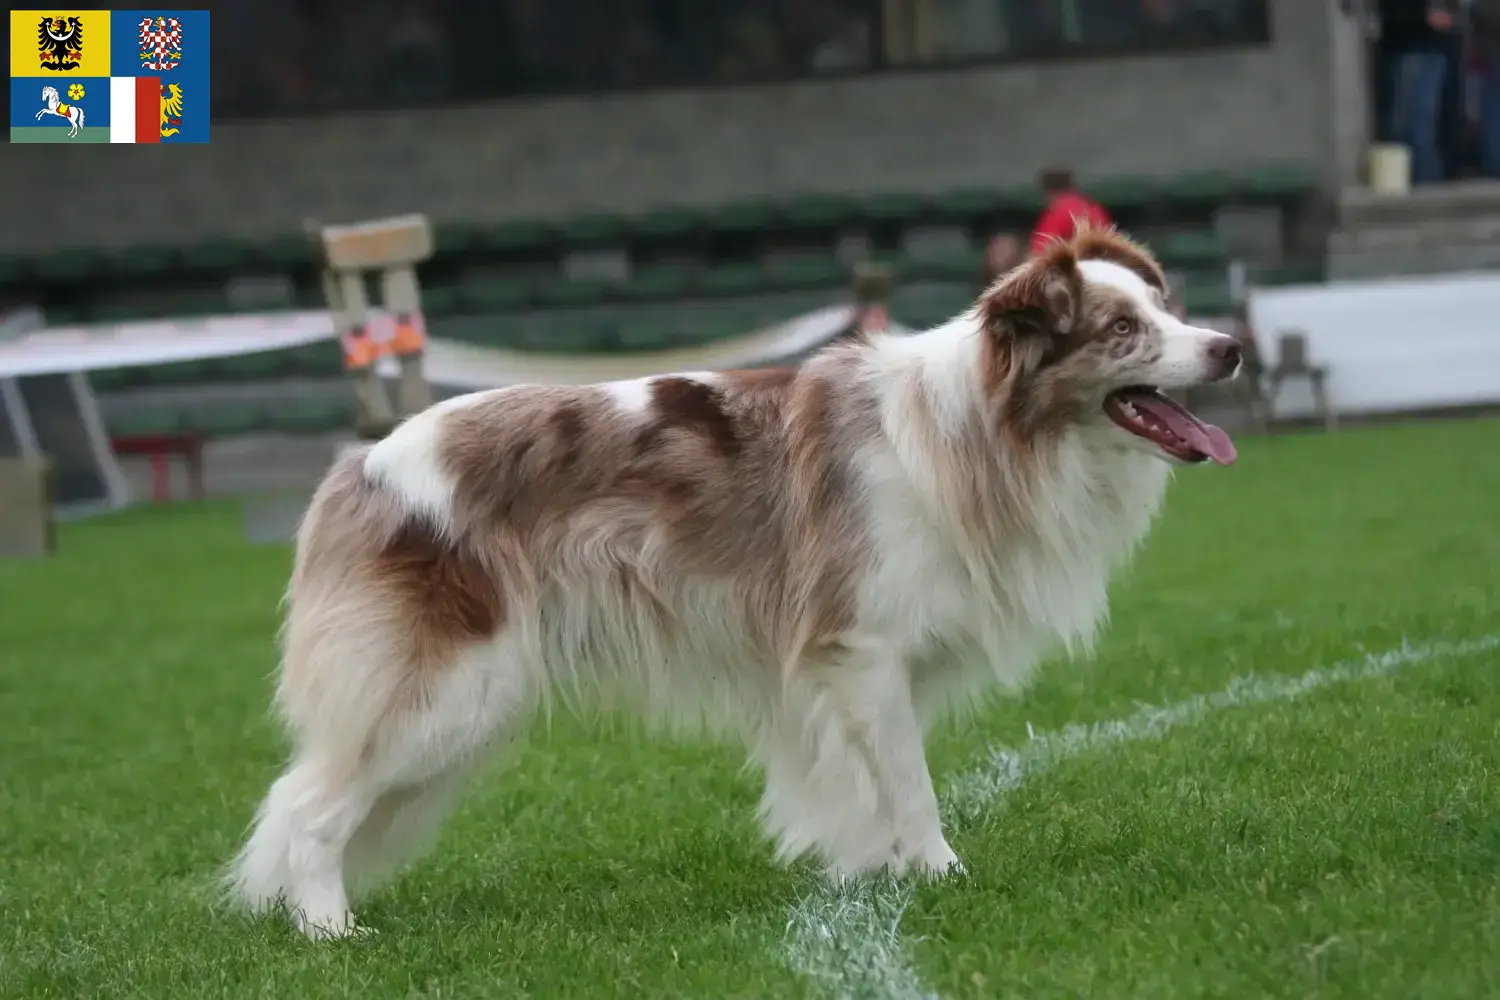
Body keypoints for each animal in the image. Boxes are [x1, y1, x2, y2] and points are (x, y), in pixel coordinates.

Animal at [231, 229, 1242, 941]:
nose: (1229, 347)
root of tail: (357, 467)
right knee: (308, 807)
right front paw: (941, 876)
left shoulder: (852, 676)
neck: (986, 432)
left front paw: (869, 877)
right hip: (447, 689)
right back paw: (330, 933)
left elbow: (864, 787)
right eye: (1122, 331)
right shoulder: (862, 651)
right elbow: (910, 785)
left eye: (1170, 308)